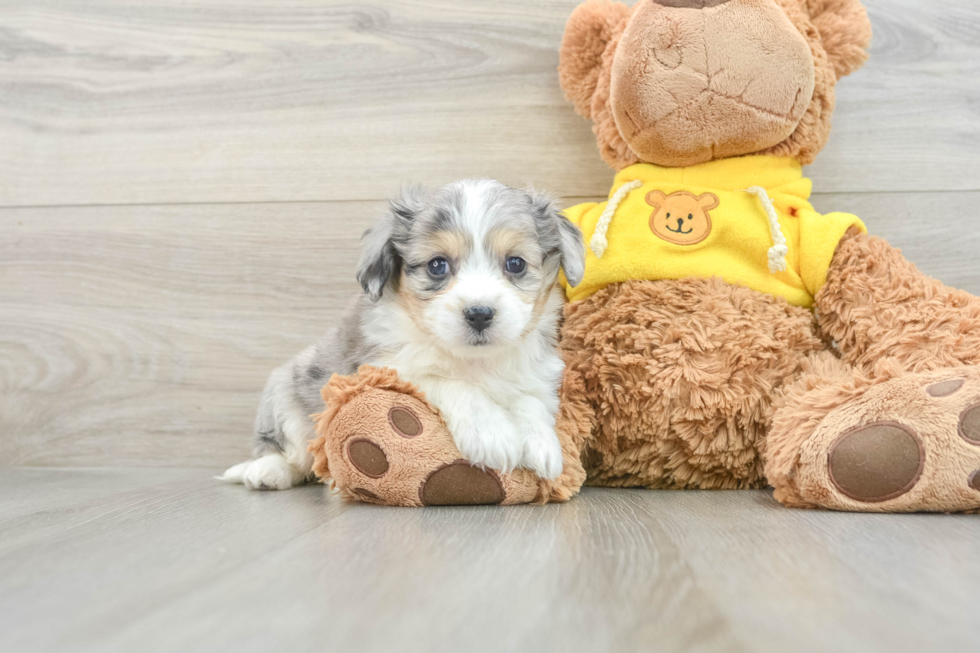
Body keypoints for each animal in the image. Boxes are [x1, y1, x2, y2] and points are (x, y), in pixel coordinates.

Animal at [222, 178, 580, 488]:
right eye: (437, 265)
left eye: (516, 264)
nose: (479, 313)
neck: (475, 361)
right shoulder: (388, 368)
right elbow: (455, 385)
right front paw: (492, 434)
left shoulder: (536, 372)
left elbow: (530, 401)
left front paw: (542, 444)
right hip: (284, 391)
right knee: (290, 452)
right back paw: (267, 471)